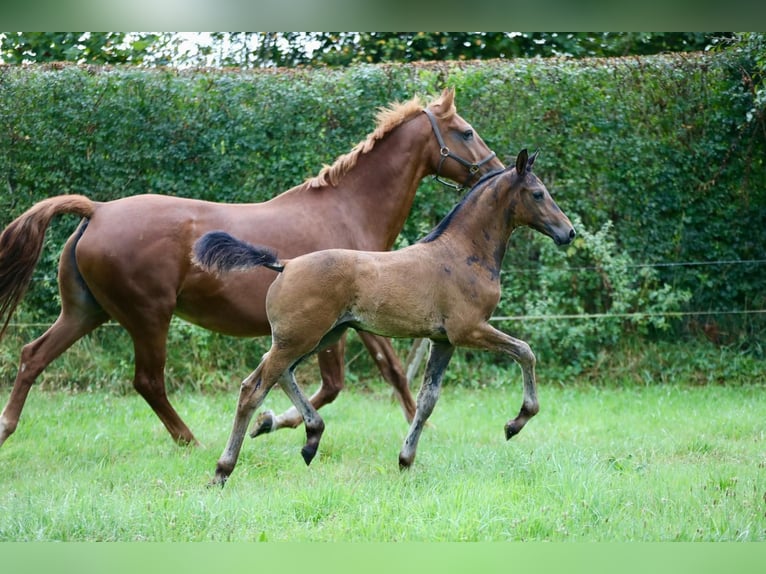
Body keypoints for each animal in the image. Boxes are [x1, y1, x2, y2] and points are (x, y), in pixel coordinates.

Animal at [0, 89, 504, 450]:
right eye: (466, 131)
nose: (495, 171)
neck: (347, 210)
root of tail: (98, 210)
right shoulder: (350, 320)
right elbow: (354, 379)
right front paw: (274, 422)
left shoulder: (351, 321)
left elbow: (361, 377)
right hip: (148, 317)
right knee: (148, 381)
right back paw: (191, 441)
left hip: (87, 312)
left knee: (32, 356)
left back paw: (7, 427)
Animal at [194, 150, 576, 486]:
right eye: (538, 193)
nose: (568, 232)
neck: (463, 253)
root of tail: (284, 264)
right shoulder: (468, 330)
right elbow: (525, 351)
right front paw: (516, 423)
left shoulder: (443, 340)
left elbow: (427, 400)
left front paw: (405, 460)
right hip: (299, 338)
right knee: (253, 388)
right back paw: (223, 470)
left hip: (320, 336)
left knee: (281, 375)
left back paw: (309, 437)